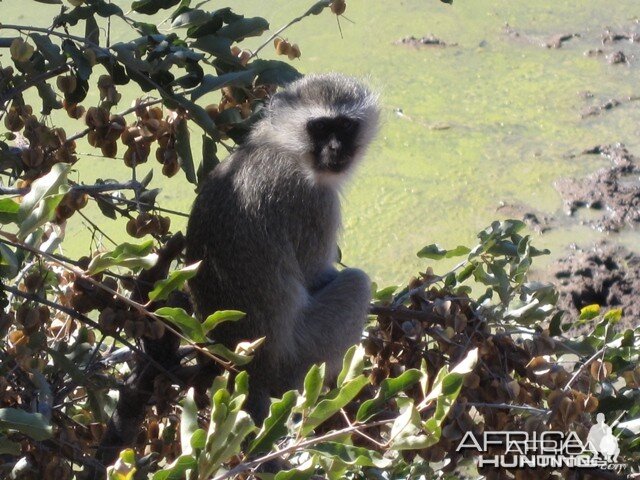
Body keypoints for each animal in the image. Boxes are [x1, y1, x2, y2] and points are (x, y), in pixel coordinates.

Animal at [188, 73, 380, 422]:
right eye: (320, 127)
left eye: (345, 126)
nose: (335, 149)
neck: (284, 146)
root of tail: (252, 373)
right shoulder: (314, 200)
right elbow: (314, 275)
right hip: (301, 358)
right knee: (358, 282)